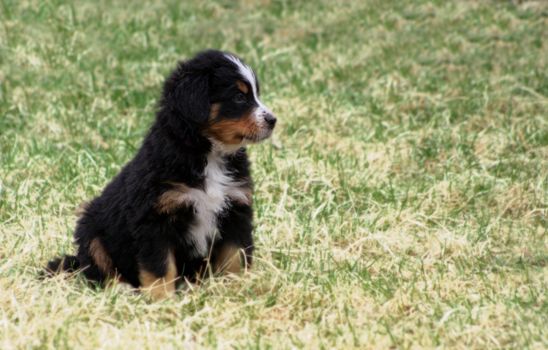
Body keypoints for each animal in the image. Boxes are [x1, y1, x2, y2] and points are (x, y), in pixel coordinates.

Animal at [46, 49, 278, 300]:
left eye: (255, 94)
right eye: (239, 97)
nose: (273, 120)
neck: (209, 155)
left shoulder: (236, 209)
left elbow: (235, 256)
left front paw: (237, 287)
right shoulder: (154, 218)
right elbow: (159, 266)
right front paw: (161, 299)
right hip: (90, 230)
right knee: (97, 268)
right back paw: (121, 288)